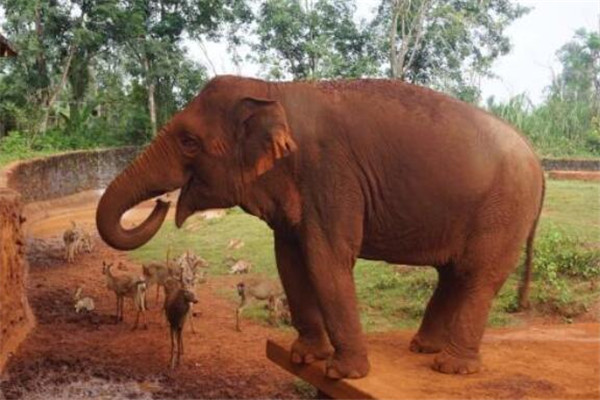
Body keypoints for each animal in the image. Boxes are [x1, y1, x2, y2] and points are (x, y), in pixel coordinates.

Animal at [96, 76, 548, 380]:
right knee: (454, 274)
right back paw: (423, 348)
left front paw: (342, 373)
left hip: (504, 209)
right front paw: (303, 357)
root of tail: (537, 156)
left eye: (189, 141)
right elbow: (290, 261)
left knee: (478, 276)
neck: (272, 90)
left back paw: (450, 367)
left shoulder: (330, 176)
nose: (161, 202)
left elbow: (326, 259)